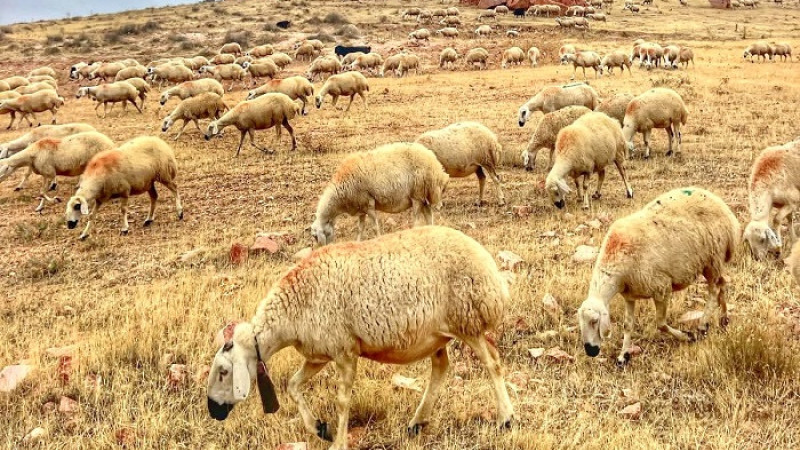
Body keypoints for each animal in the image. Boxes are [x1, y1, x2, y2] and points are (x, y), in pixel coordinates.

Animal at [206, 226, 514, 448]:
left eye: (223, 371)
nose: (213, 411)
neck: (290, 314)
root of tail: (491, 269)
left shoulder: (344, 351)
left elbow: (343, 400)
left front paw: (338, 441)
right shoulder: (319, 353)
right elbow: (293, 386)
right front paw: (319, 428)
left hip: (468, 320)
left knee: (493, 362)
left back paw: (506, 418)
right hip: (437, 334)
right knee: (441, 367)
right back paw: (417, 422)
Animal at [310, 143, 449, 244]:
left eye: (316, 237)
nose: (323, 247)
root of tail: (435, 163)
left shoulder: (368, 204)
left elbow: (375, 227)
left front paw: (377, 238)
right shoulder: (360, 207)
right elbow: (360, 229)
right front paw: (358, 242)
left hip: (417, 195)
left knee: (417, 220)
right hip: (424, 196)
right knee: (429, 216)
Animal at [579, 187, 739, 365]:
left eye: (594, 321)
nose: (590, 351)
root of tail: (722, 206)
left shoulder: (661, 288)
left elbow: (661, 324)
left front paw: (686, 336)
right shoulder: (630, 295)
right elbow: (628, 325)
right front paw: (623, 356)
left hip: (713, 258)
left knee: (713, 291)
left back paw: (703, 325)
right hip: (713, 263)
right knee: (722, 284)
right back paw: (724, 318)